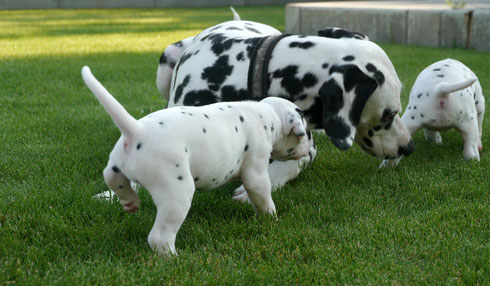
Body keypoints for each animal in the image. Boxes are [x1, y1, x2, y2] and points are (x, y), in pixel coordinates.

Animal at [81, 66, 310, 254]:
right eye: (305, 132)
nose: (309, 148)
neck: (268, 114)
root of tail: (136, 131)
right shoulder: (256, 170)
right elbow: (261, 195)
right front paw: (271, 217)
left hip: (117, 167)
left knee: (113, 178)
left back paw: (129, 201)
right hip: (176, 192)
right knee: (159, 236)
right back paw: (172, 257)